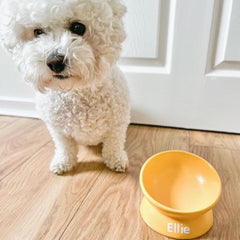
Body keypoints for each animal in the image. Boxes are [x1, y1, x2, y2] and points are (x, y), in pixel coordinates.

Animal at [0, 0, 130, 173]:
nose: (54, 62)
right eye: (38, 32)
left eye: (78, 27)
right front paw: (63, 162)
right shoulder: (58, 129)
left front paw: (116, 160)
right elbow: (65, 147)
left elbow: (114, 144)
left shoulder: (117, 124)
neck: (77, 91)